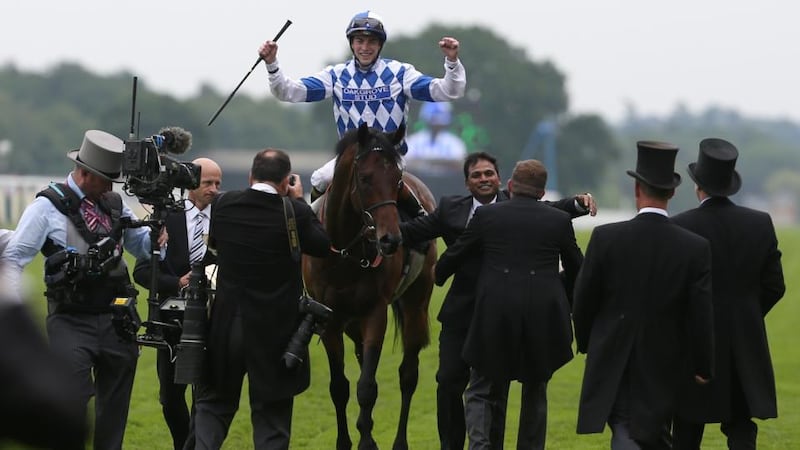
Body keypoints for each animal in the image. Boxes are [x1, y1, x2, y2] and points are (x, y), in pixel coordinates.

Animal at [304, 123, 438, 450]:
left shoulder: (375, 313)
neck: (344, 252)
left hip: (417, 302)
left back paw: (399, 441)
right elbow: (339, 387)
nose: (391, 240)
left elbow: (367, 386)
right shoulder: (329, 319)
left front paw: (367, 442)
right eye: (365, 178)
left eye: (397, 180)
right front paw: (346, 441)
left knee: (408, 374)